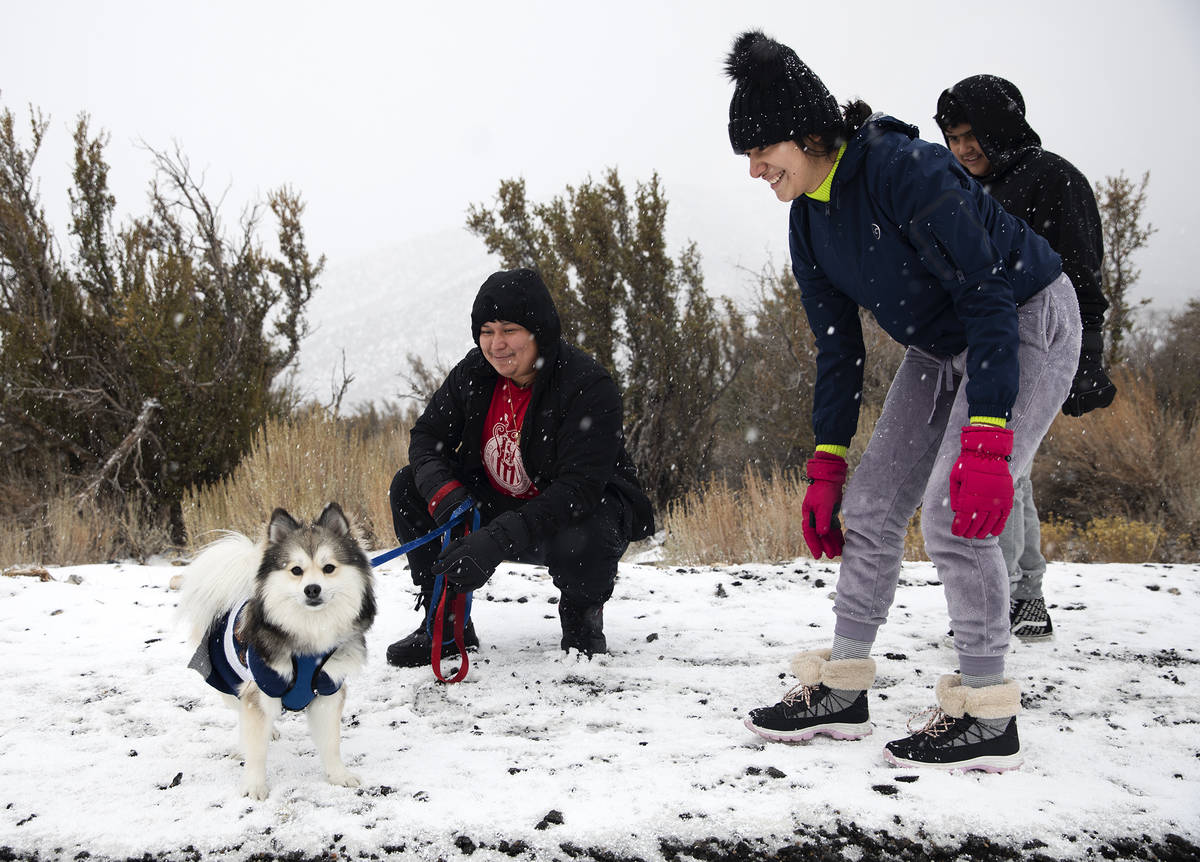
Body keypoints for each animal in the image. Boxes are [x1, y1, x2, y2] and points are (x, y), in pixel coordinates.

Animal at [177, 504, 372, 801]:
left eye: (329, 568)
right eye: (296, 570)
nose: (312, 589)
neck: (308, 634)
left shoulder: (329, 690)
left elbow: (331, 742)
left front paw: (338, 776)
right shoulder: (259, 687)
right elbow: (256, 748)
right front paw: (255, 786)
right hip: (226, 679)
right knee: (242, 715)